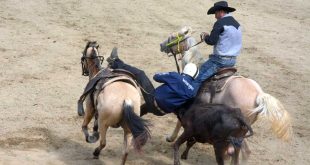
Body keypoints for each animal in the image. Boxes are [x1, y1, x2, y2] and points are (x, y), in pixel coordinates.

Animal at [160, 26, 294, 161]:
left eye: (173, 36)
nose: (161, 45)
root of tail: (259, 94)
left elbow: (179, 121)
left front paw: (171, 137)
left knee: (243, 151)